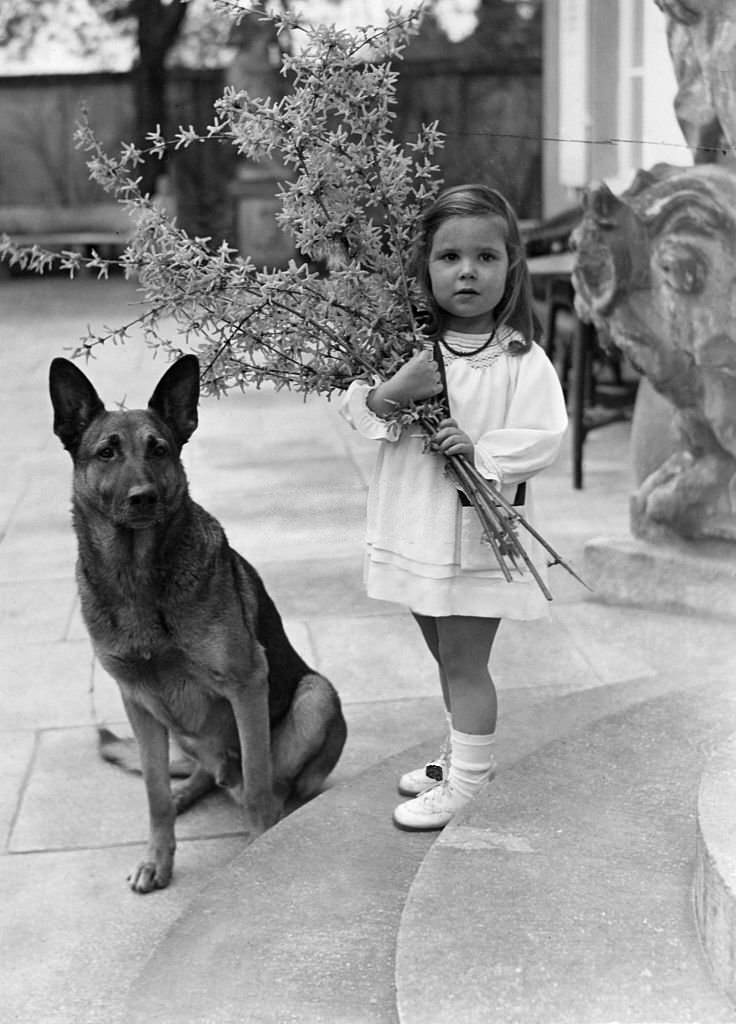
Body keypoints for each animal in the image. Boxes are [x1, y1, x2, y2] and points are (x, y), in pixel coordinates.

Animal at [49, 356, 348, 892]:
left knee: (277, 787)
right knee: (197, 775)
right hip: (178, 727)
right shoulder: (138, 702)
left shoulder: (247, 683)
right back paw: (187, 791)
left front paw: (261, 855)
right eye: (106, 452)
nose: (143, 498)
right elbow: (153, 794)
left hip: (317, 695)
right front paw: (158, 857)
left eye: (159, 449)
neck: (139, 576)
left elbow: (258, 789)